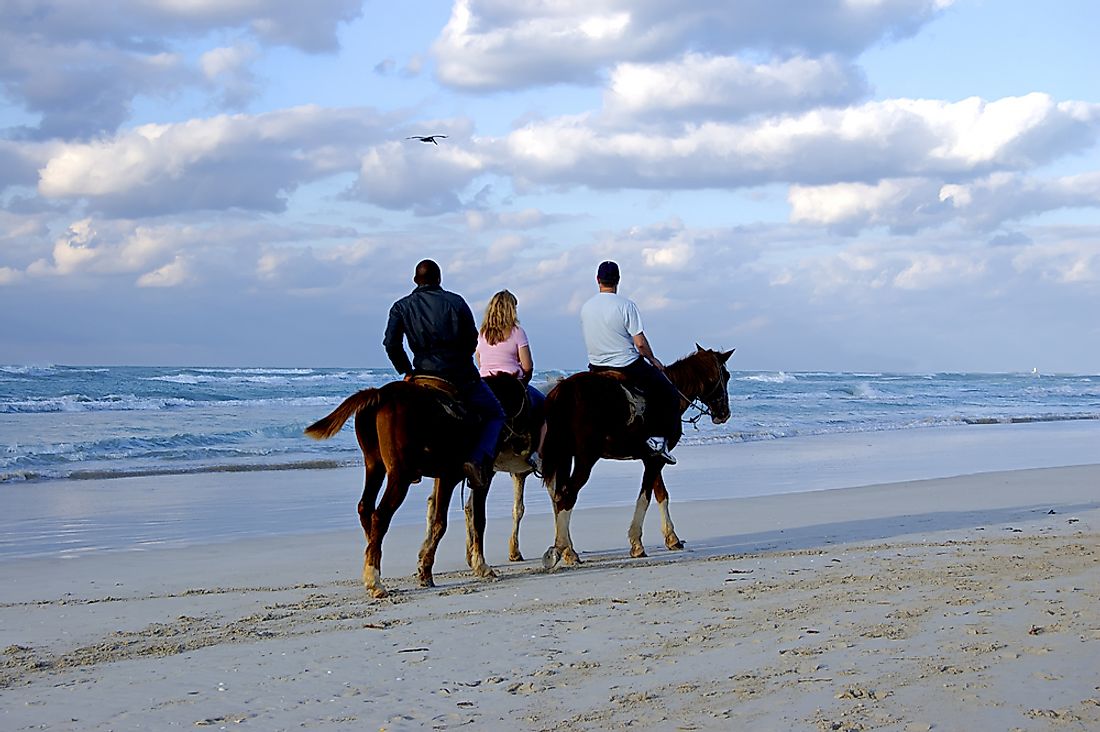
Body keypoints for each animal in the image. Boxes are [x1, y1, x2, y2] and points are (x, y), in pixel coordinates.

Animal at [301, 378, 490, 598]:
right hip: (400, 475)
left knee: (365, 508)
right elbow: (456, 521)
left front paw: (425, 569)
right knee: (380, 515)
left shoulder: (446, 477)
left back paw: (372, 562)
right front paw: (478, 566)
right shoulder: (458, 477)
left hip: (374, 464)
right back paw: (374, 579)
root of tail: (381, 393)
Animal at [539, 345, 730, 567]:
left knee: (559, 495)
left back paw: (568, 549)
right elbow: (646, 496)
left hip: (565, 456)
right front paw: (637, 542)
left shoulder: (654, 456)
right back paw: (562, 548)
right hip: (586, 458)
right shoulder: (656, 459)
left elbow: (661, 493)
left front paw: (671, 537)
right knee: (568, 495)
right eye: (726, 376)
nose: (724, 413)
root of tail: (564, 390)